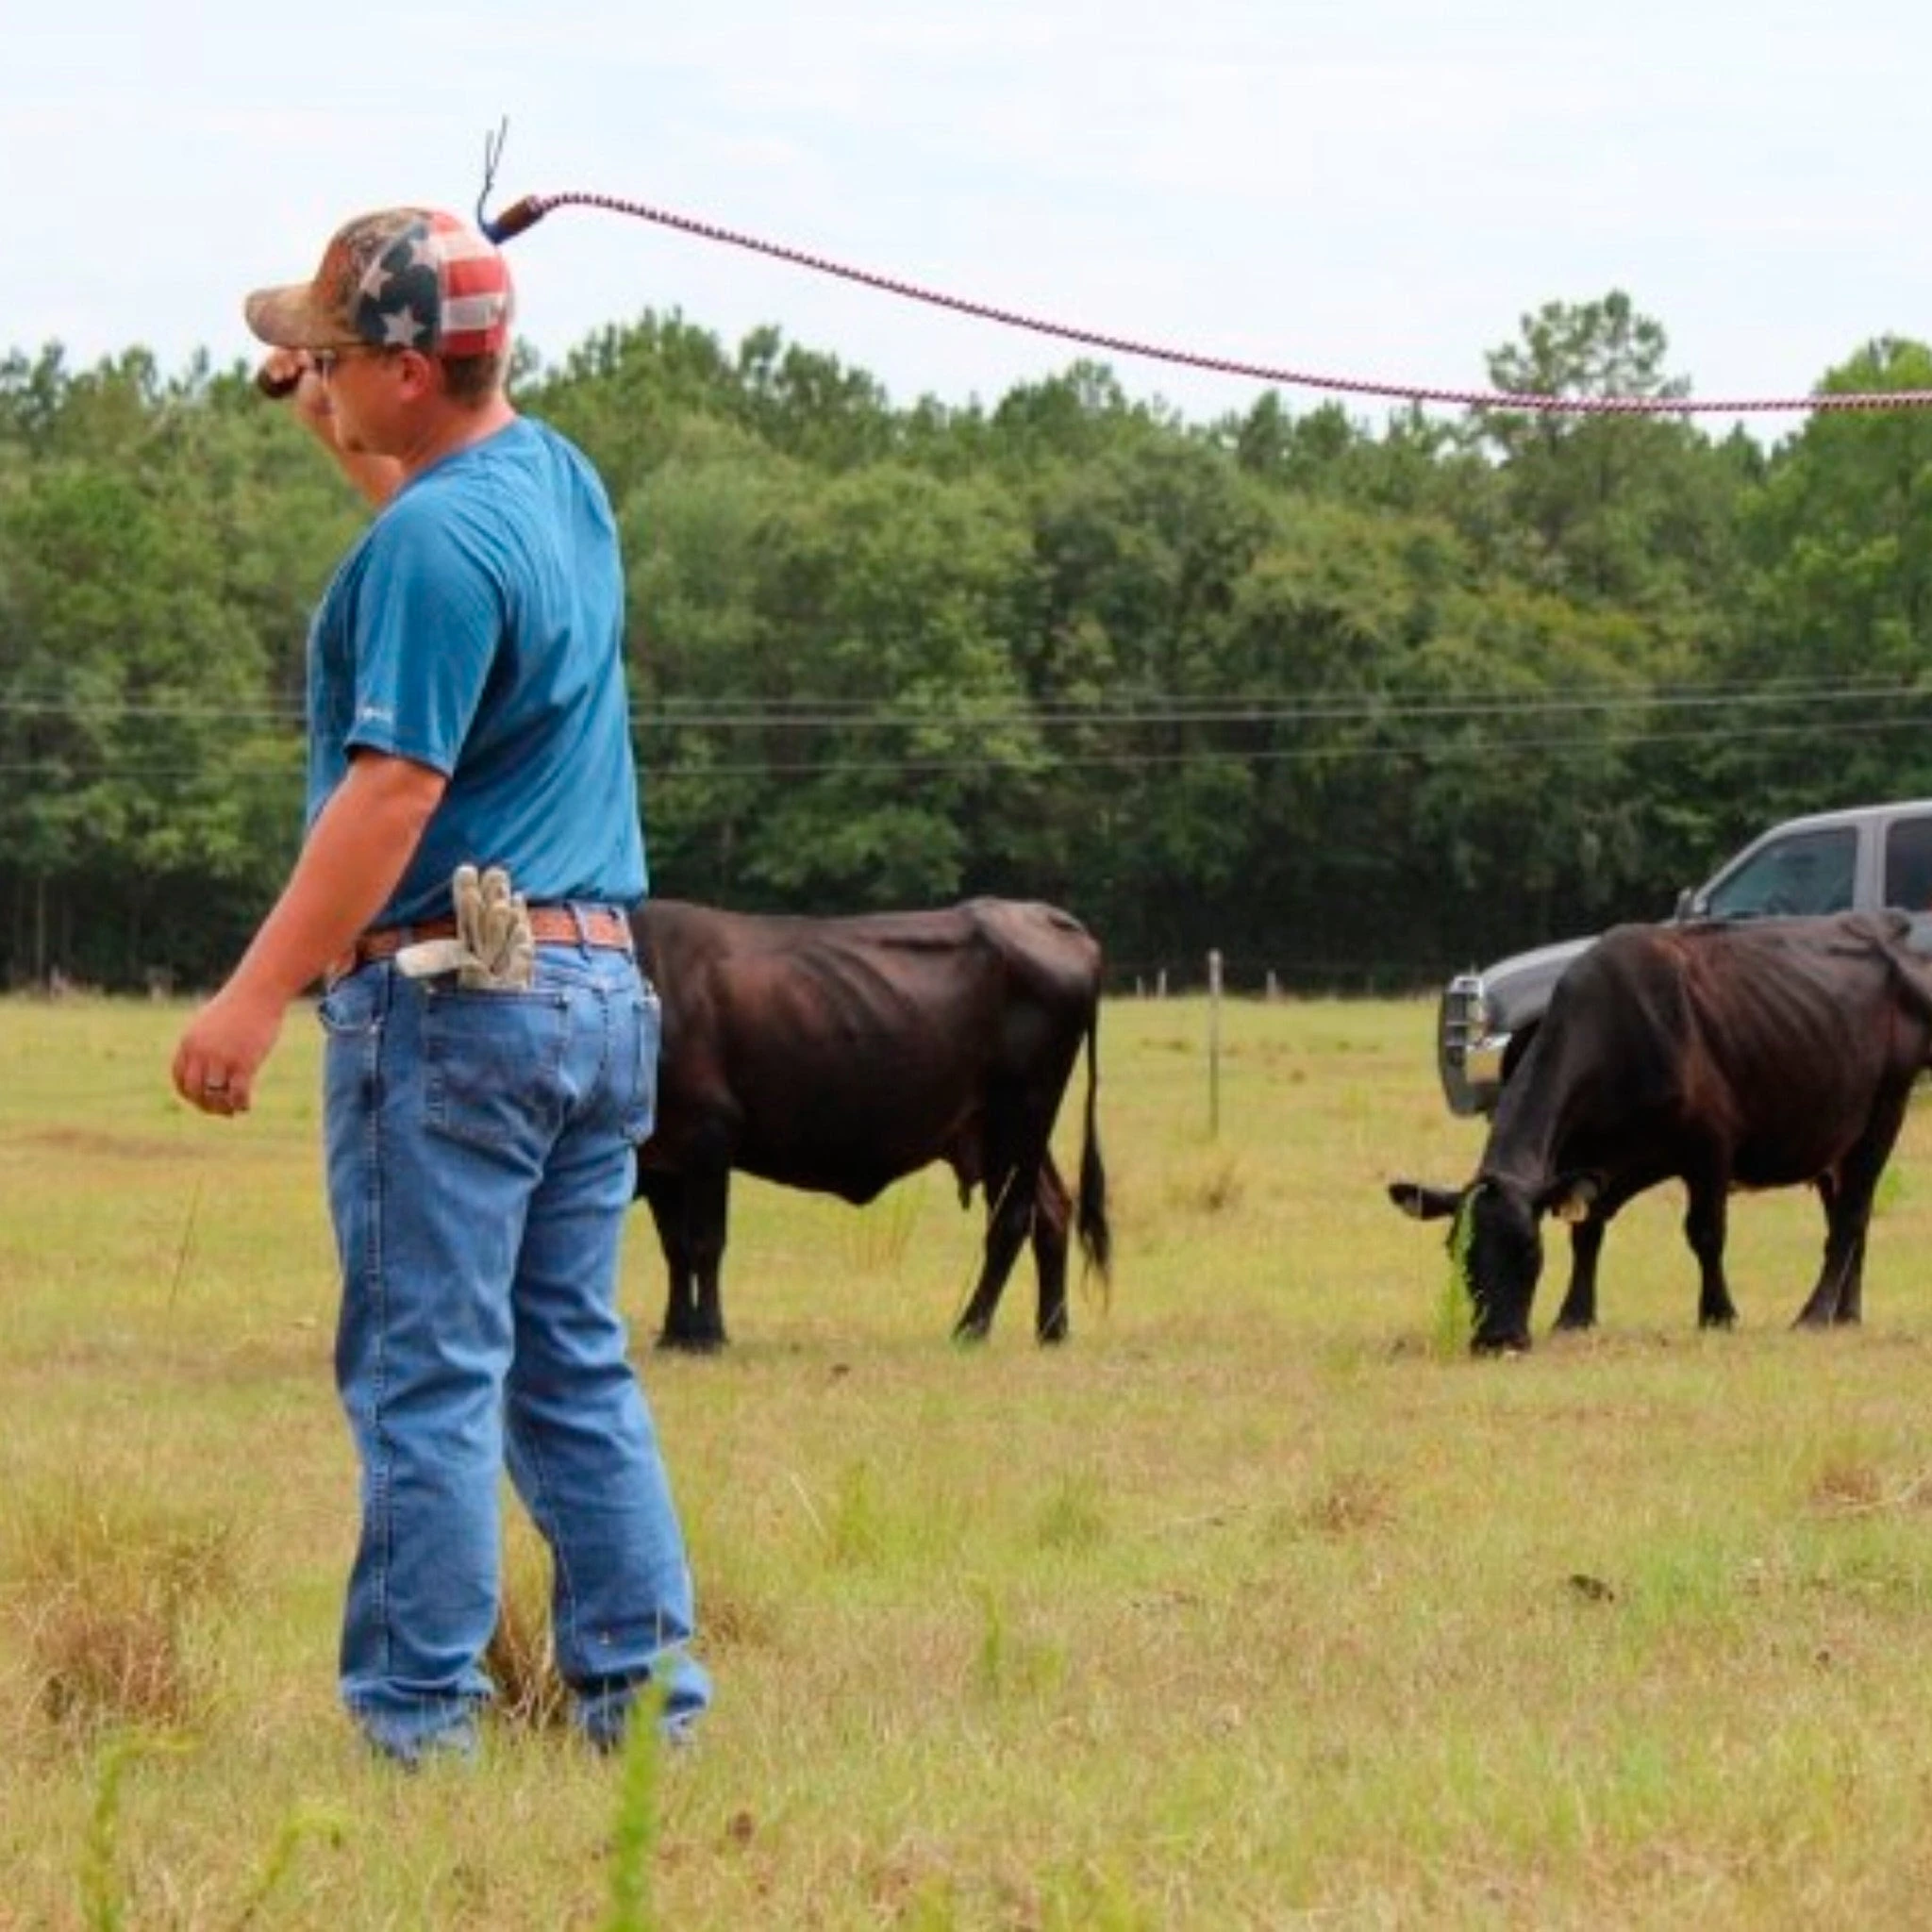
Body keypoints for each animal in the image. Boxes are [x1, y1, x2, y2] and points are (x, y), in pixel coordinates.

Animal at [630, 897, 1111, 1351]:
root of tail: (1044, 916)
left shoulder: (709, 1134)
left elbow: (705, 1242)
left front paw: (708, 1335)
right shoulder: (660, 1161)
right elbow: (675, 1247)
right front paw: (674, 1335)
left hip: (1020, 1114)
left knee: (1011, 1220)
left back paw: (971, 1329)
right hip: (1006, 1132)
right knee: (1052, 1210)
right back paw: (1052, 1330)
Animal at [1387, 912, 1932, 1353]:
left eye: (1528, 1249)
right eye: (1456, 1251)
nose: (1497, 1340)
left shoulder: (1711, 1146)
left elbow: (1705, 1232)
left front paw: (1718, 1313)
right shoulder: (1590, 1159)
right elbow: (1587, 1231)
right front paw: (1574, 1315)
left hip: (1885, 1109)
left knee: (1851, 1215)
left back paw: (1815, 1313)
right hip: (1829, 1134)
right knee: (1849, 1216)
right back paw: (1846, 1313)